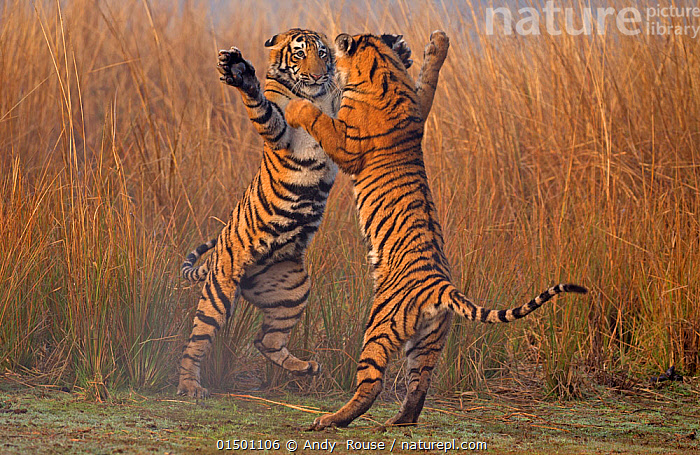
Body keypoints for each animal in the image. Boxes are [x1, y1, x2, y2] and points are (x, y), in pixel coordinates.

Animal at [178, 28, 442, 400]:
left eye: (322, 53)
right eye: (299, 54)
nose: (318, 76)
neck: (314, 95)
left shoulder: (345, 116)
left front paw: (400, 51)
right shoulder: (282, 131)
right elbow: (264, 108)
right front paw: (240, 72)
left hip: (294, 290)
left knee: (266, 340)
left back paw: (307, 367)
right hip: (220, 290)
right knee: (196, 341)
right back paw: (190, 386)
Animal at [284, 32, 584, 432]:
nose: (330, 54)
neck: (384, 73)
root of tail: (441, 287)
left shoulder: (347, 144)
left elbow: (318, 117)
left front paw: (295, 108)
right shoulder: (419, 105)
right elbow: (429, 78)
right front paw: (436, 44)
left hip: (379, 326)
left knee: (370, 385)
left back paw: (330, 420)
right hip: (427, 342)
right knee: (418, 389)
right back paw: (396, 422)